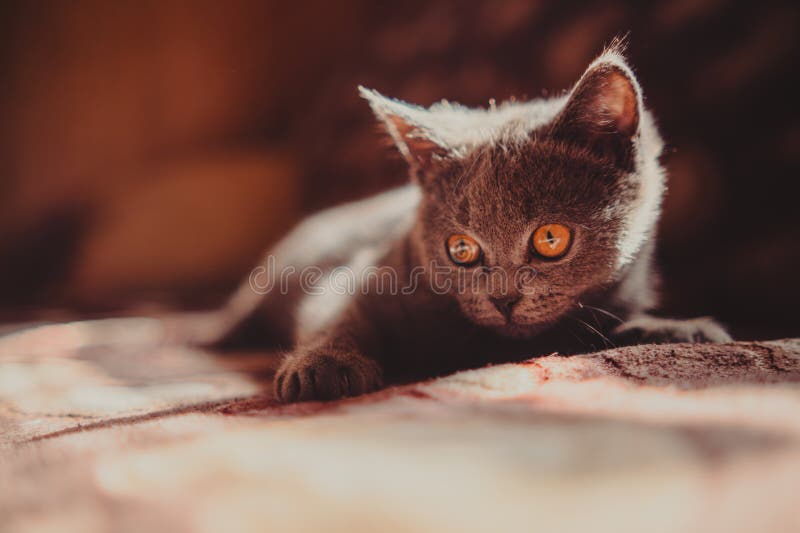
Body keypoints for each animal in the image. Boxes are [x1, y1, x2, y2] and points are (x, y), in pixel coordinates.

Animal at [206, 44, 732, 404]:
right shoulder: (357, 278)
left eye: (551, 239)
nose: (503, 299)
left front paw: (677, 328)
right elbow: (335, 314)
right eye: (461, 249)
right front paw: (324, 364)